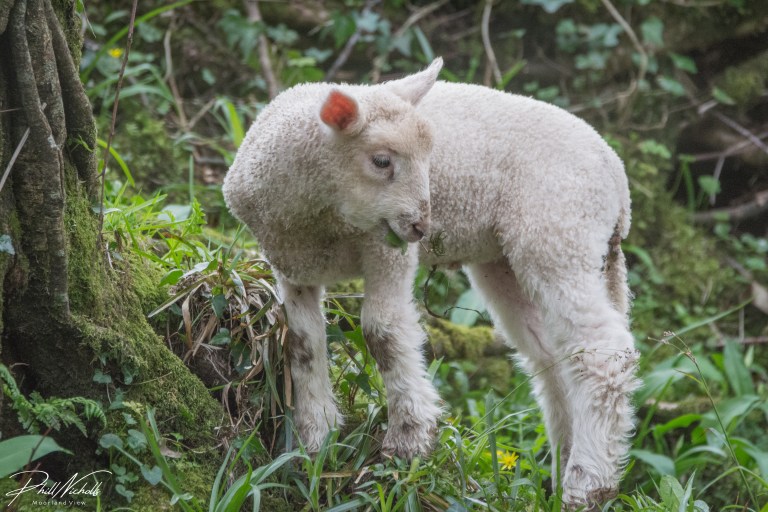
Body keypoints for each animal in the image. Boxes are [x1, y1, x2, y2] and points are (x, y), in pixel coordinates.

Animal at [223, 57, 640, 509]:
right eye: (382, 161)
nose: (424, 226)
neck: (320, 220)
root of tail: (617, 178)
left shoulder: (387, 247)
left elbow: (383, 332)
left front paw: (408, 441)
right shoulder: (290, 265)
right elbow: (301, 343)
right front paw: (314, 441)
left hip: (560, 232)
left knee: (602, 351)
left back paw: (587, 482)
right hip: (508, 259)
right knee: (553, 360)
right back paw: (563, 468)